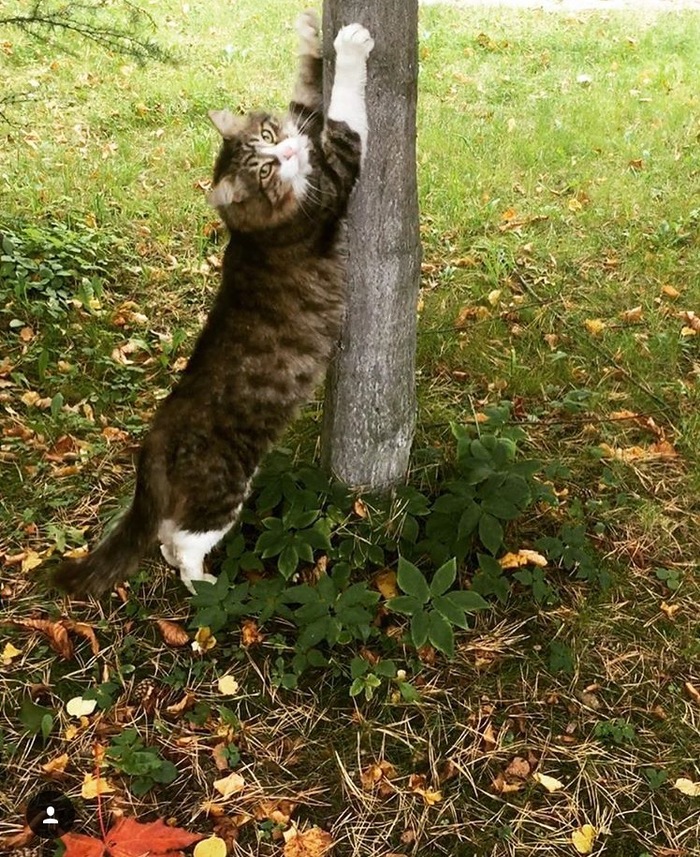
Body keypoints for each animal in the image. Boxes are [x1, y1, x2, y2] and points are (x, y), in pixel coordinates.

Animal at [55, 8, 374, 596]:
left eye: (271, 136)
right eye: (265, 169)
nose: (290, 153)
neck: (250, 230)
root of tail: (153, 445)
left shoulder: (310, 134)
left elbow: (307, 94)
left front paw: (310, 33)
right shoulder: (335, 175)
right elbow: (344, 112)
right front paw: (350, 44)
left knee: (165, 537)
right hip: (225, 490)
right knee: (181, 543)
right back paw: (206, 584)